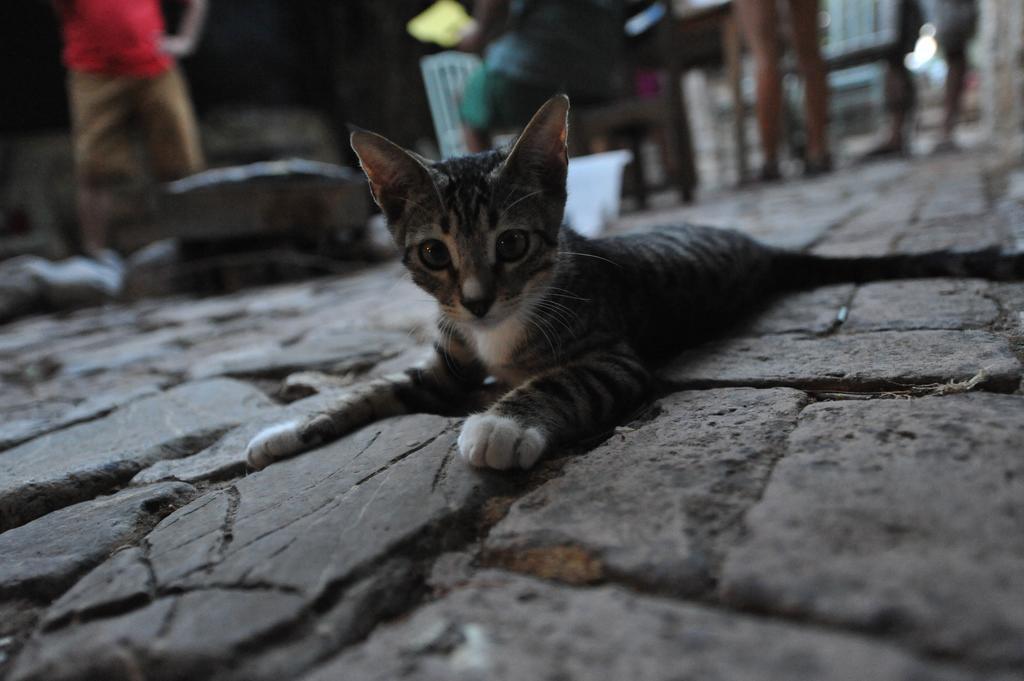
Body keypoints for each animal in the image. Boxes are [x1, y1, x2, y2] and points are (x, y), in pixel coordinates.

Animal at [243, 93, 1019, 471]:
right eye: (434, 253)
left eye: (512, 243)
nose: (477, 299)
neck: (500, 331)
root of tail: (763, 247)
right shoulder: (445, 360)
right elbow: (379, 388)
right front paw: (290, 428)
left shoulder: (613, 355)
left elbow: (563, 380)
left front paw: (500, 423)